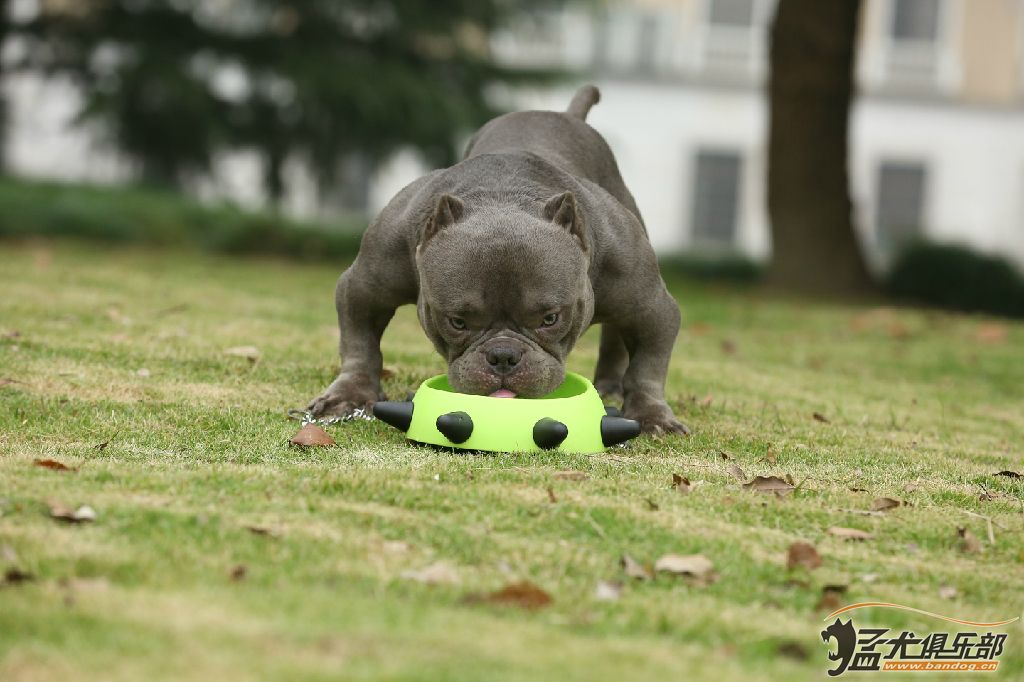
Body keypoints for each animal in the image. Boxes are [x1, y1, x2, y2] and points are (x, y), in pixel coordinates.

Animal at [305, 84, 688, 436]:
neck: (502, 197)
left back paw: (609, 386)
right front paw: (349, 396)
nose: (503, 355)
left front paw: (652, 416)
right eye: (457, 322)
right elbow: (360, 343)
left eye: (550, 319)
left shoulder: (650, 307)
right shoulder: (366, 286)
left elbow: (649, 366)